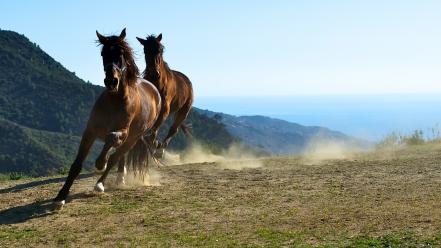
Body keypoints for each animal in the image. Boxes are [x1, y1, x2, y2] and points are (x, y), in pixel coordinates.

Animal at [52, 28, 161, 207]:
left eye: (121, 54)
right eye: (103, 54)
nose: (111, 81)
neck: (114, 100)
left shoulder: (123, 132)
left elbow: (111, 141)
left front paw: (100, 163)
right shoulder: (90, 131)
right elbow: (76, 165)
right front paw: (60, 197)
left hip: (133, 137)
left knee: (116, 157)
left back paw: (100, 184)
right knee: (120, 157)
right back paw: (119, 178)